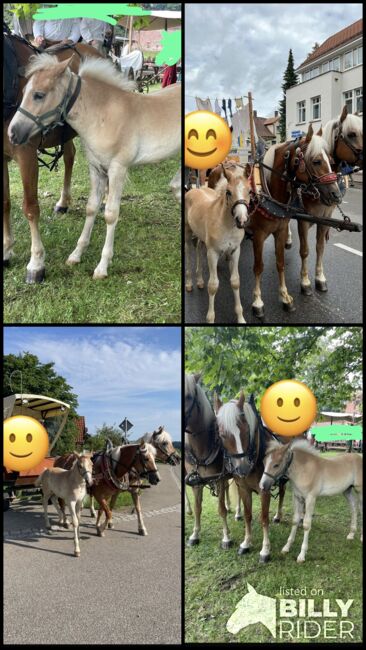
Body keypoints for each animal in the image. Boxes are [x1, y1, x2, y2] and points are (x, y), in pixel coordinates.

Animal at [3, 31, 100, 280]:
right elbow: (5, 203)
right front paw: (6, 251)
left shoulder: (26, 154)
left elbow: (30, 207)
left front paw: (36, 262)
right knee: (69, 156)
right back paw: (63, 203)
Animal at [184, 165, 250, 322]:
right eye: (228, 192)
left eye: (250, 191)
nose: (242, 220)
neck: (227, 225)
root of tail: (195, 189)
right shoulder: (213, 253)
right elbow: (213, 285)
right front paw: (210, 319)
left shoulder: (235, 251)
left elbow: (235, 281)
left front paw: (240, 318)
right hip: (188, 232)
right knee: (188, 250)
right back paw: (189, 283)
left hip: (201, 236)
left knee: (198, 248)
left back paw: (200, 280)